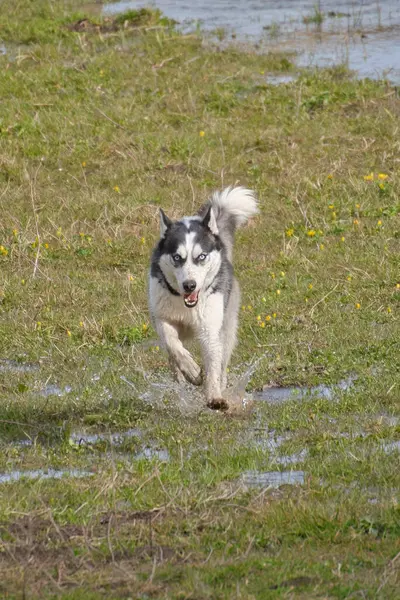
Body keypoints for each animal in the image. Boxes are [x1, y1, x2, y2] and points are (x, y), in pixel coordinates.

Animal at [148, 188, 258, 410]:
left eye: (201, 257)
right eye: (177, 257)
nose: (189, 285)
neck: (187, 306)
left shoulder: (210, 329)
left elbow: (213, 366)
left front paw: (214, 396)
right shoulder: (162, 318)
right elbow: (173, 345)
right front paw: (191, 370)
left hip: (227, 324)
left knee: (223, 358)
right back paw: (180, 374)